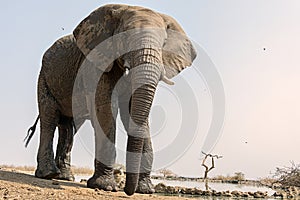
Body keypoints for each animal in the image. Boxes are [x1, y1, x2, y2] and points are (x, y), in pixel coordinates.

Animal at [25, 3, 197, 196]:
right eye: (125, 38)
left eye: (164, 44)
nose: (127, 191)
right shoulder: (96, 63)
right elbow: (106, 109)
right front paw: (104, 186)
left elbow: (133, 114)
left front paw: (146, 190)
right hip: (44, 77)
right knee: (50, 118)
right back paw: (48, 174)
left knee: (69, 125)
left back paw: (65, 177)